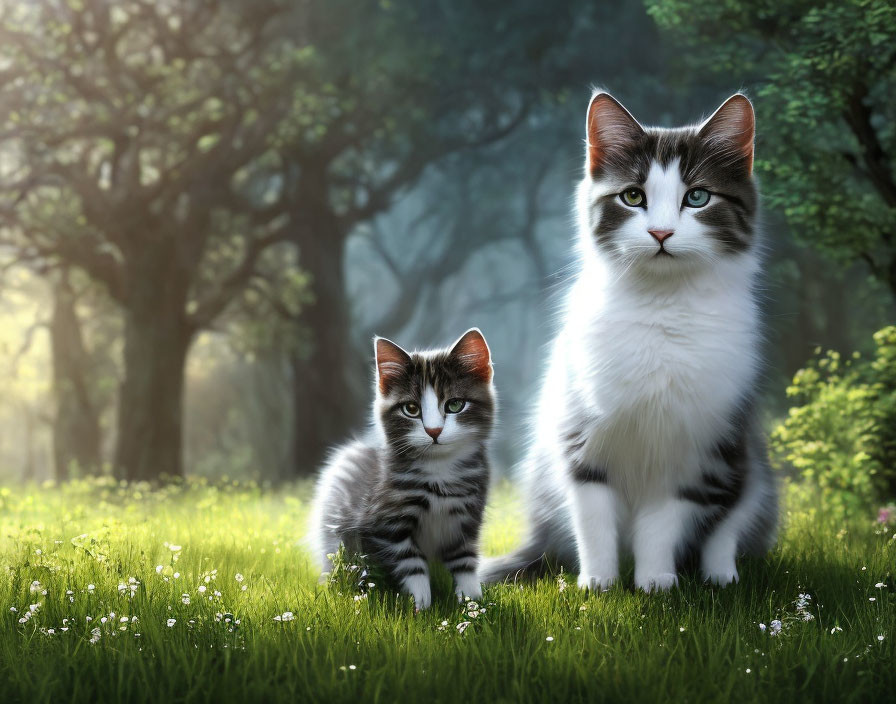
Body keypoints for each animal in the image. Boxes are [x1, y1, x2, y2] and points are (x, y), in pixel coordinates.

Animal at [310, 328, 496, 608]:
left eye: (454, 405)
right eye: (411, 409)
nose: (434, 431)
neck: (440, 469)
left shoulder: (468, 516)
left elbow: (464, 558)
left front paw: (472, 599)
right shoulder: (385, 523)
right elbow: (410, 560)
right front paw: (420, 602)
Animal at [484, 92, 776, 588]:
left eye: (697, 196)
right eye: (633, 196)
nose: (660, 232)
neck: (661, 306)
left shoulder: (693, 450)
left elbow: (661, 523)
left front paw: (654, 583)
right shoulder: (580, 436)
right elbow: (593, 519)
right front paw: (598, 584)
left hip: (744, 462)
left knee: (728, 526)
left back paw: (720, 574)